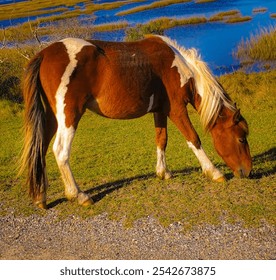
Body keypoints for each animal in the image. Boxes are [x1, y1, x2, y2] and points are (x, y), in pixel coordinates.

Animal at [20, 35, 252, 209]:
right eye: (241, 139)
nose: (248, 172)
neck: (180, 67)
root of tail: (44, 53)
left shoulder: (160, 111)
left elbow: (162, 140)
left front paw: (163, 172)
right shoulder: (177, 110)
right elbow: (193, 139)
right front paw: (214, 173)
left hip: (53, 118)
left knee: (40, 149)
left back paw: (41, 198)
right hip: (69, 116)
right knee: (60, 151)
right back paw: (78, 195)